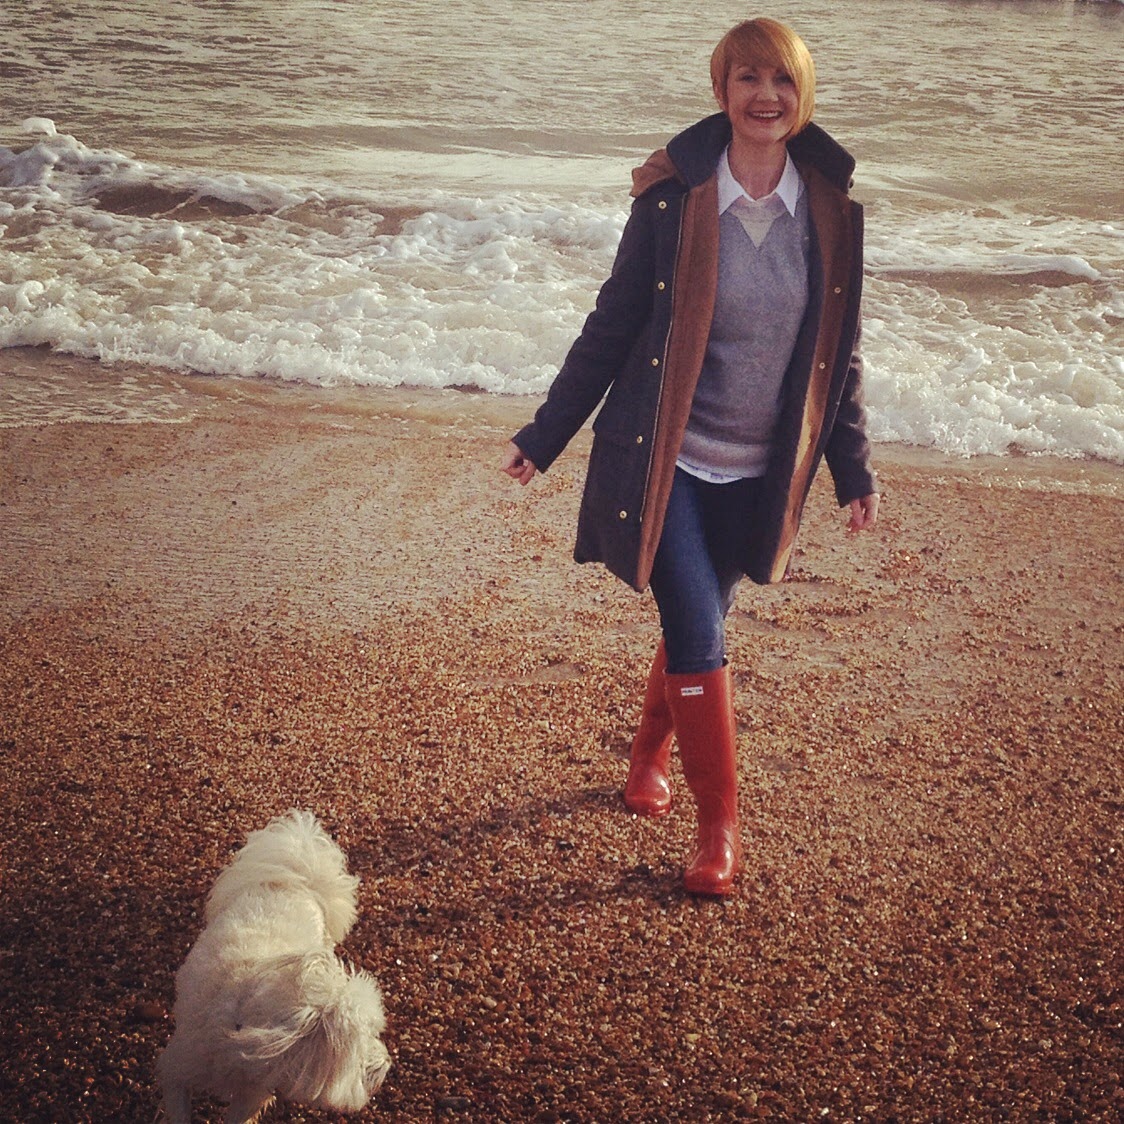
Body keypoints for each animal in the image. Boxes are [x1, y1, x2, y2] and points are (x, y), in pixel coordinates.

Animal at [157, 810, 390, 1123]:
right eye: (359, 1044)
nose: (387, 1063)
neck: (241, 1024)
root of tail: (298, 880)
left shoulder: (251, 1093)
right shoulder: (178, 1071)